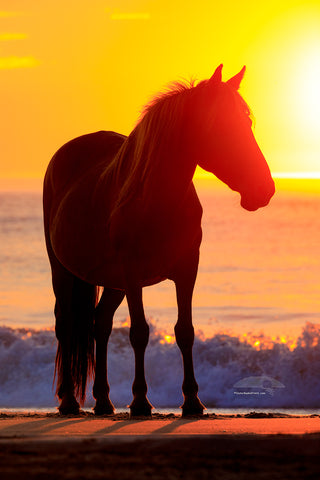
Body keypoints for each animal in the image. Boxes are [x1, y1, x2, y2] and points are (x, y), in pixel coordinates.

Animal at [43, 63, 276, 416]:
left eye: (247, 123)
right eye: (223, 125)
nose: (264, 189)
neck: (158, 200)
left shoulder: (187, 271)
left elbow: (185, 331)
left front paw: (192, 401)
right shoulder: (132, 273)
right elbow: (139, 332)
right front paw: (140, 401)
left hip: (112, 282)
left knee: (100, 323)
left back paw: (103, 401)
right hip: (64, 270)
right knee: (67, 324)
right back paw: (69, 400)